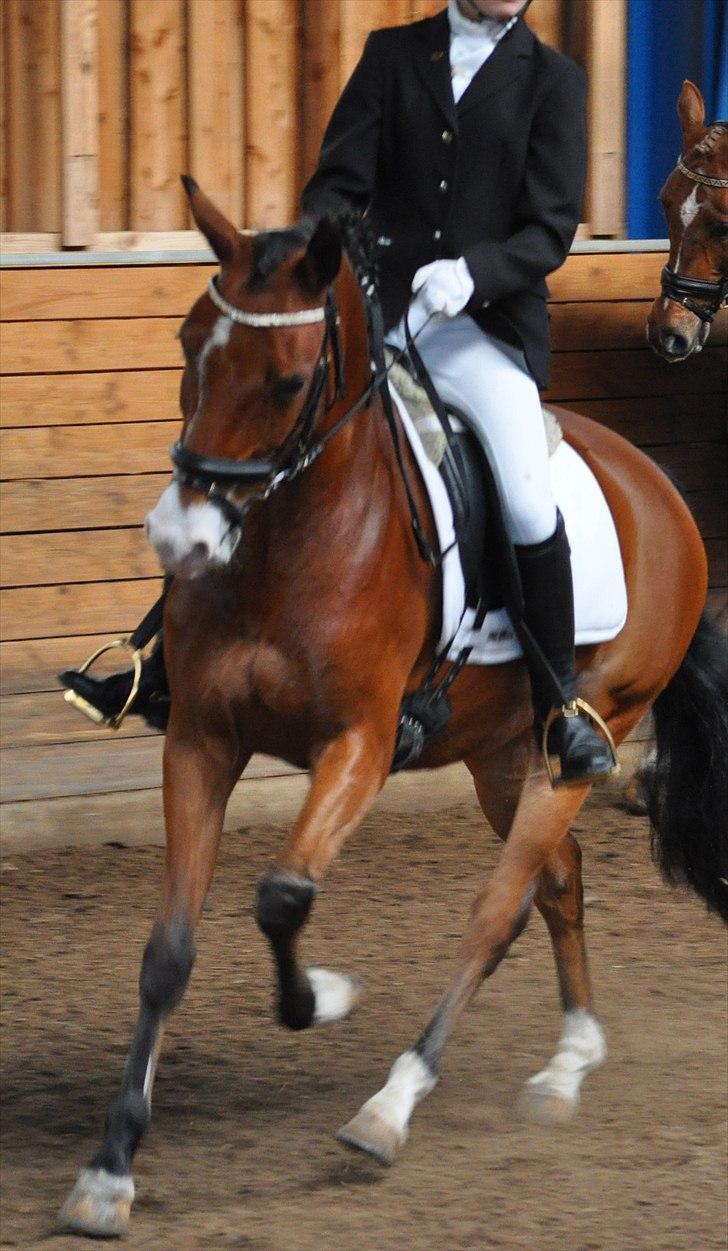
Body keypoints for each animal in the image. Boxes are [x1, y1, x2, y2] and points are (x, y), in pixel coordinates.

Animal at [59, 178, 728, 1238]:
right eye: (186, 342)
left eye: (290, 381)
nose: (181, 537)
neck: (293, 535)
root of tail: (660, 488)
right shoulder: (201, 741)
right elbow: (167, 951)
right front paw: (110, 1167)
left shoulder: (359, 745)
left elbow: (283, 894)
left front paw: (324, 998)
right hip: (505, 750)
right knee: (560, 882)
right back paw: (567, 1063)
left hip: (591, 733)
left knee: (498, 907)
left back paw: (391, 1103)